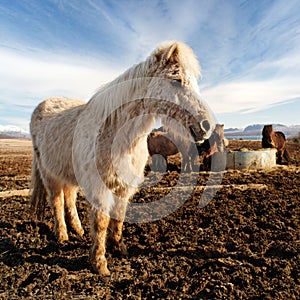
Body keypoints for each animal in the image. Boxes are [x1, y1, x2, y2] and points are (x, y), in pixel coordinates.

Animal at [29, 41, 213, 276]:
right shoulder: (99, 187)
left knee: (69, 199)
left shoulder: (124, 186)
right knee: (57, 202)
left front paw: (119, 249)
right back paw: (62, 235)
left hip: (67, 174)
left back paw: (78, 231)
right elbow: (101, 221)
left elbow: (119, 216)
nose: (206, 126)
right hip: (49, 175)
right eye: (176, 80)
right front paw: (100, 264)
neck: (116, 133)